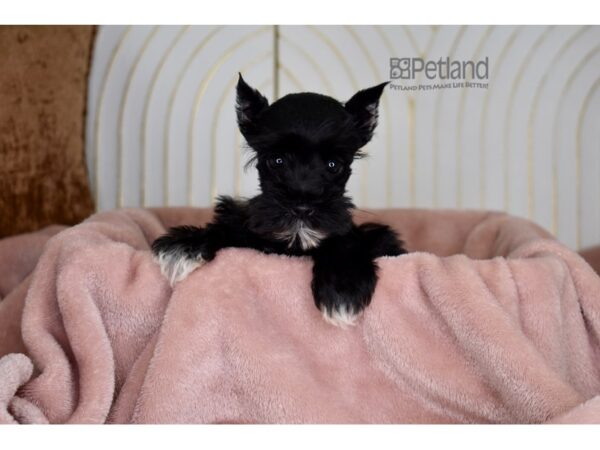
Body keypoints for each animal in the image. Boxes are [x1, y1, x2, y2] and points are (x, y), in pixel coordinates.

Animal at [152, 74, 408, 326]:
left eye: (334, 164)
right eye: (276, 160)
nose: (302, 208)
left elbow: (347, 241)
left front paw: (343, 287)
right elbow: (229, 227)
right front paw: (186, 245)